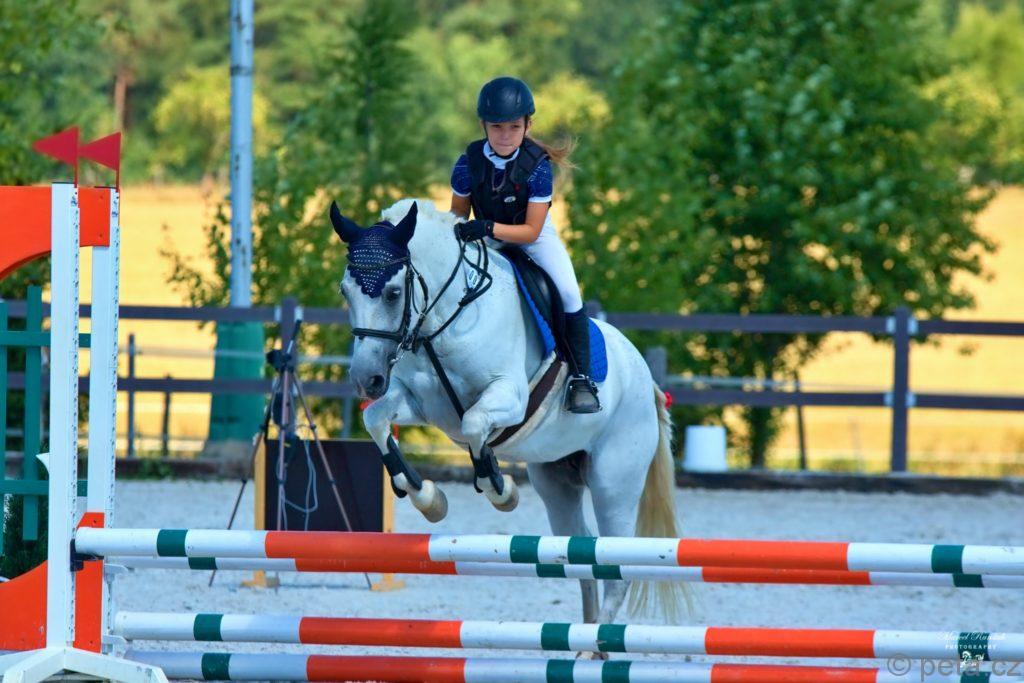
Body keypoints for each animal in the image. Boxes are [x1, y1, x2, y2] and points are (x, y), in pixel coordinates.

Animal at [330, 198, 682, 623]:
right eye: (345, 291)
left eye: (393, 293)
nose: (365, 379)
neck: (447, 319)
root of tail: (646, 380)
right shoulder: (420, 403)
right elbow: (376, 420)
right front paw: (426, 495)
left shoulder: (509, 397)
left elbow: (473, 423)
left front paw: (500, 488)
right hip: (557, 482)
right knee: (582, 556)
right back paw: (583, 636)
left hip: (614, 482)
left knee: (616, 568)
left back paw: (598, 637)